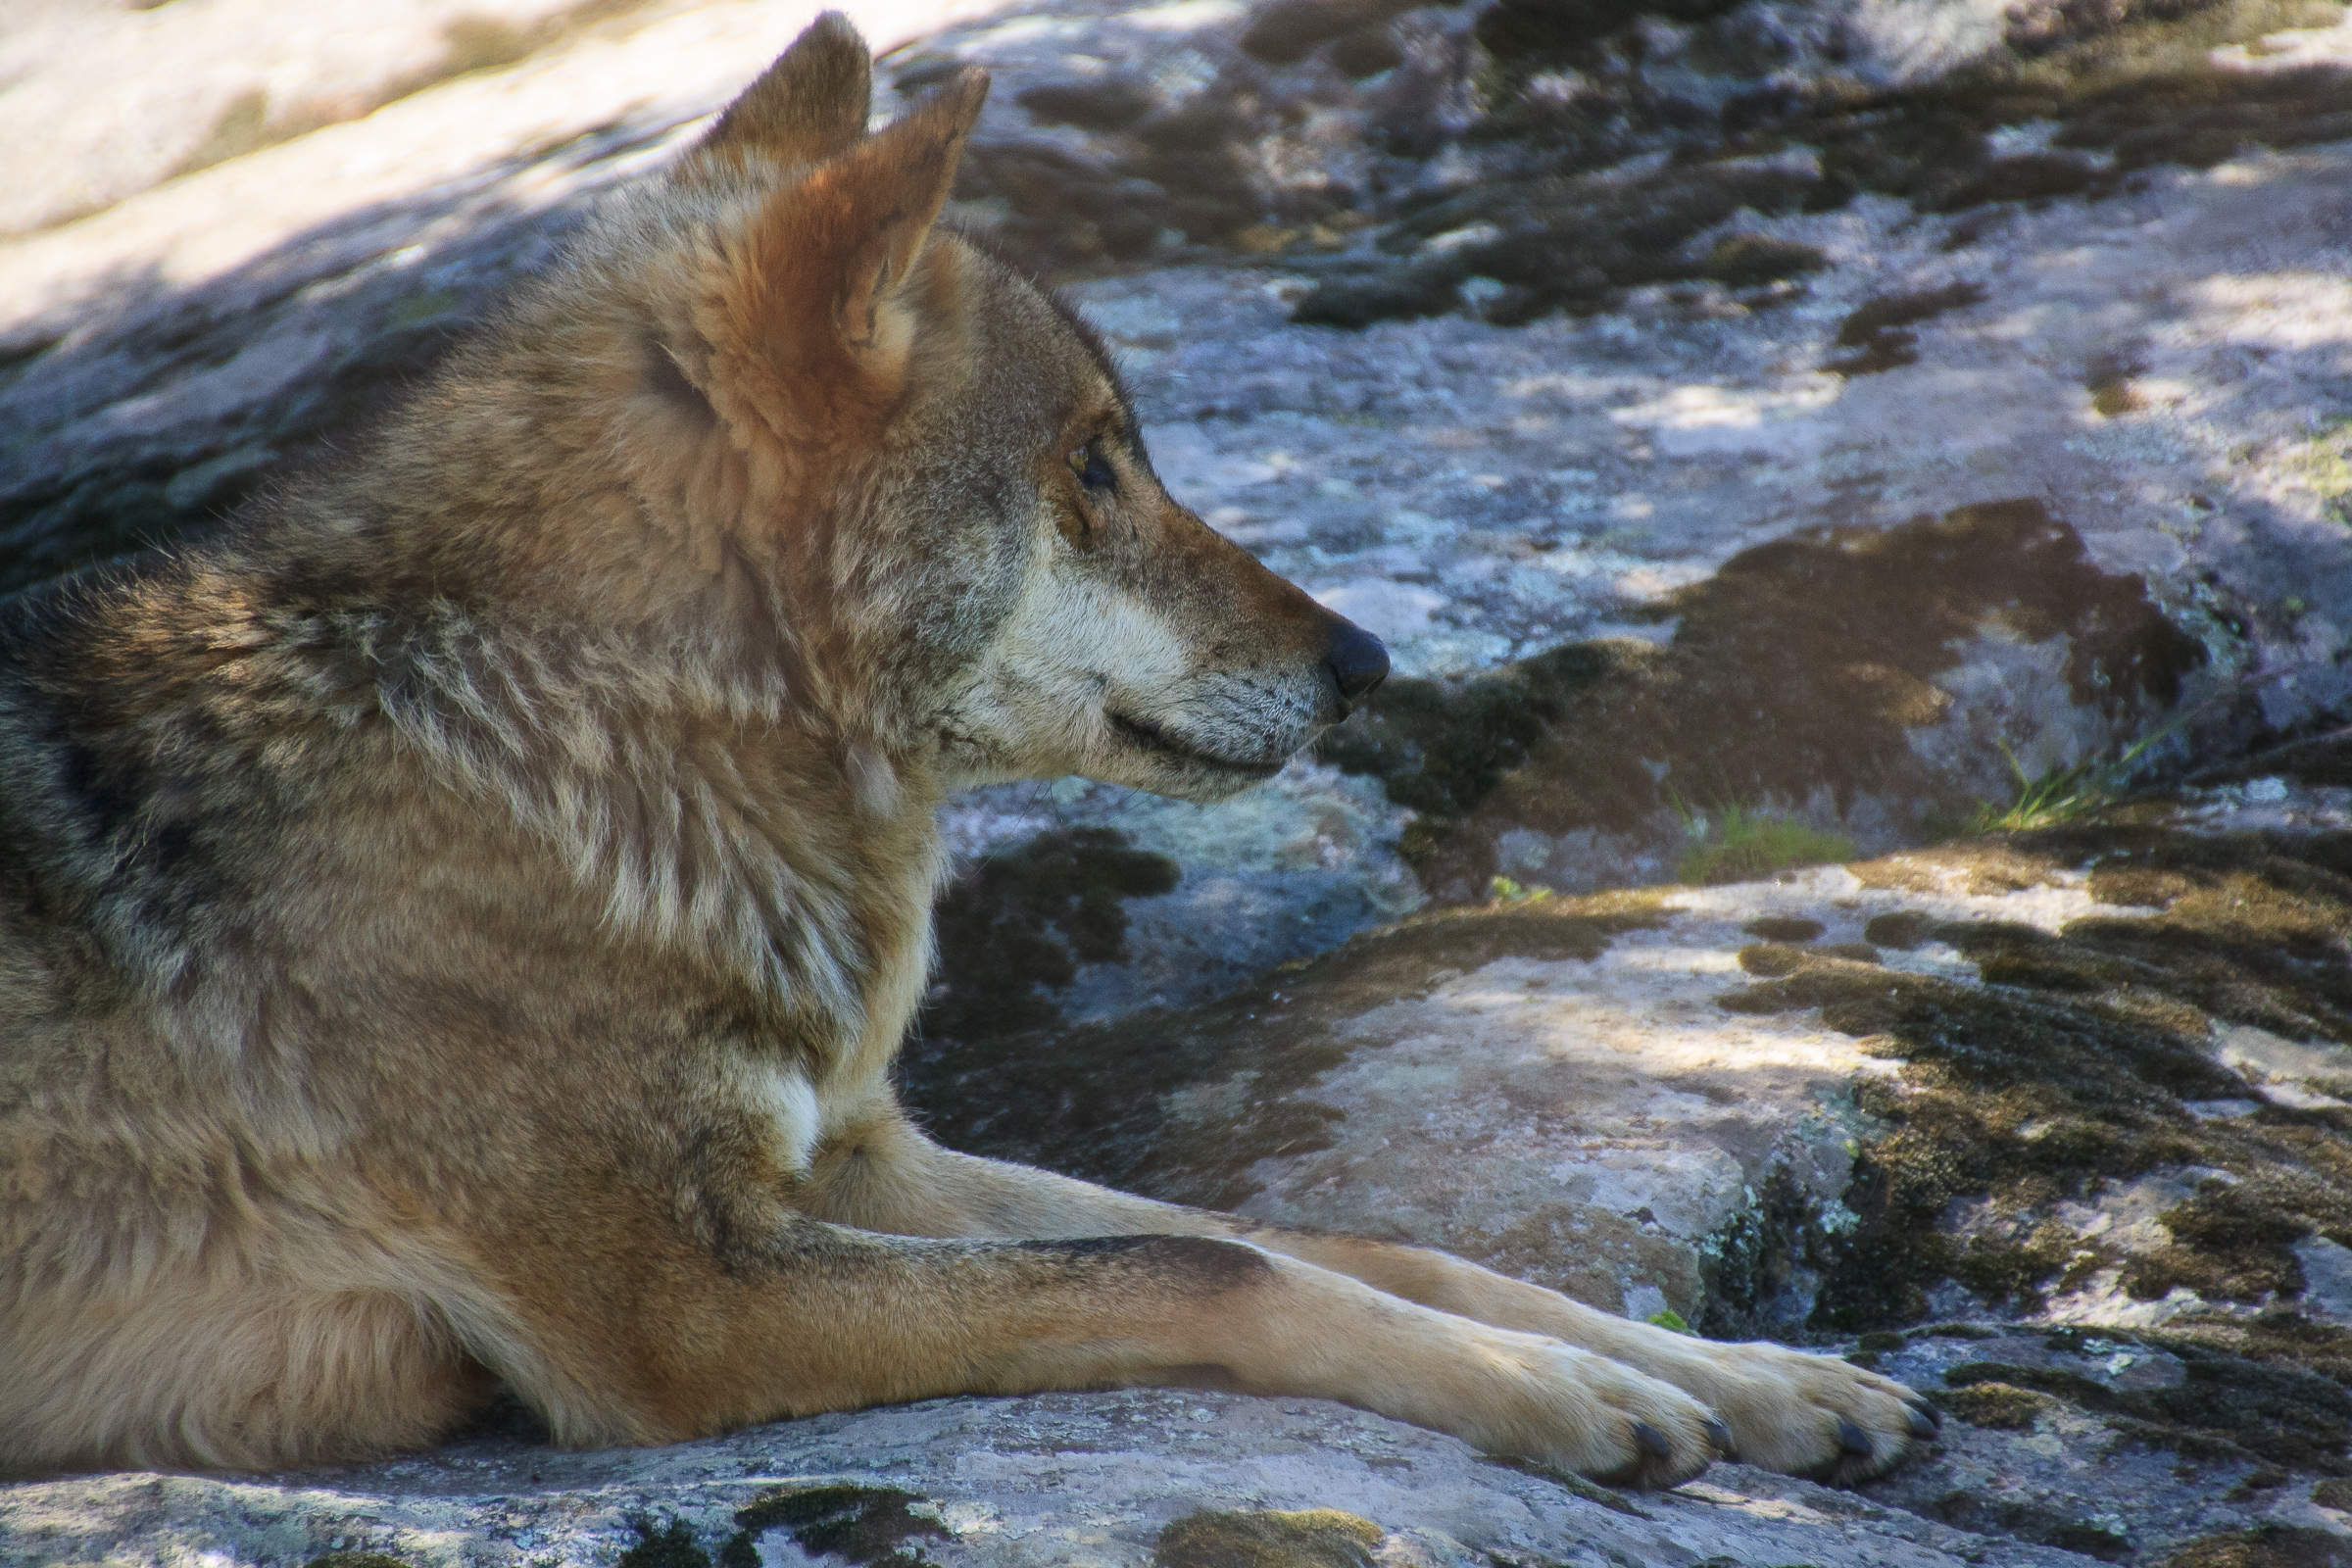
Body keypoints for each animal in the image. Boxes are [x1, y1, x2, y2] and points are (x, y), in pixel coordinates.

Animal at [0, 14, 1938, 1484]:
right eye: (1092, 467)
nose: (1370, 662)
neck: (594, 736)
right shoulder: (684, 1306)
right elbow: (1204, 1266)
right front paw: (1573, 1392)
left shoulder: (859, 1158)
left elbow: (1329, 1237)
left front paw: (1740, 1376)